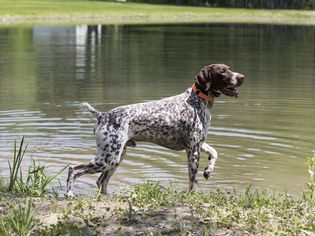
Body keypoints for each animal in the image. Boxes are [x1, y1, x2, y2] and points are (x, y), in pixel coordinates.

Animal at [65, 63, 246, 196]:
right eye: (222, 72)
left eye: (229, 68)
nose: (242, 77)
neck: (197, 100)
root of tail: (102, 115)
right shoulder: (193, 150)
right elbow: (193, 180)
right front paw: (193, 195)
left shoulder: (198, 143)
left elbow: (214, 153)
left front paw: (208, 170)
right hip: (107, 158)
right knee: (74, 169)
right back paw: (69, 194)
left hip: (116, 158)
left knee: (101, 181)